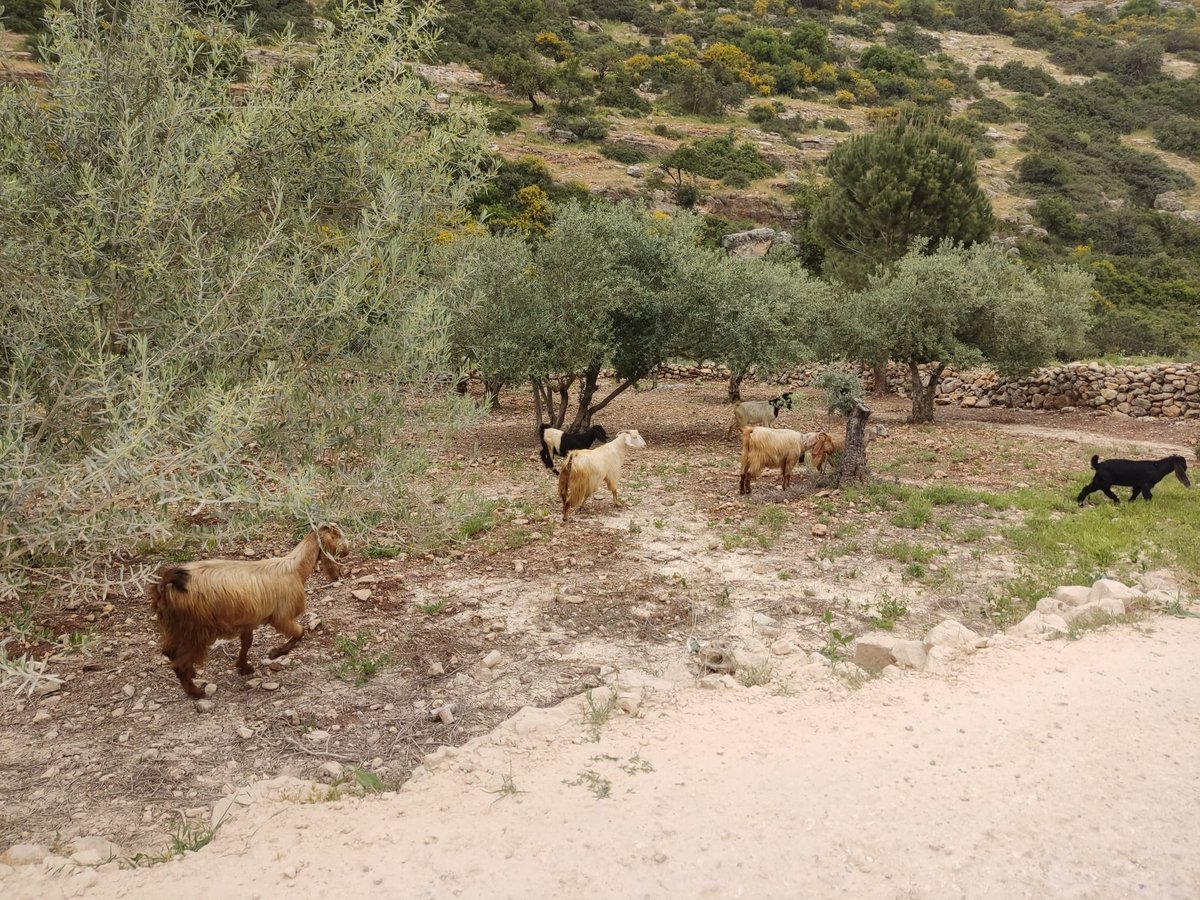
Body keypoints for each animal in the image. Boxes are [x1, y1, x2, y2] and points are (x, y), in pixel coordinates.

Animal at [146, 525, 343, 700]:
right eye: (337, 536)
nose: (345, 555)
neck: (295, 568)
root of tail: (166, 585)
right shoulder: (281, 617)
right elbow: (299, 632)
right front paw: (276, 652)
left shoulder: (249, 621)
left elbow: (247, 642)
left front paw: (243, 667)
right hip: (195, 631)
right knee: (179, 664)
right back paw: (196, 692)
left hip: (174, 627)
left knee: (169, 652)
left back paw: (192, 674)